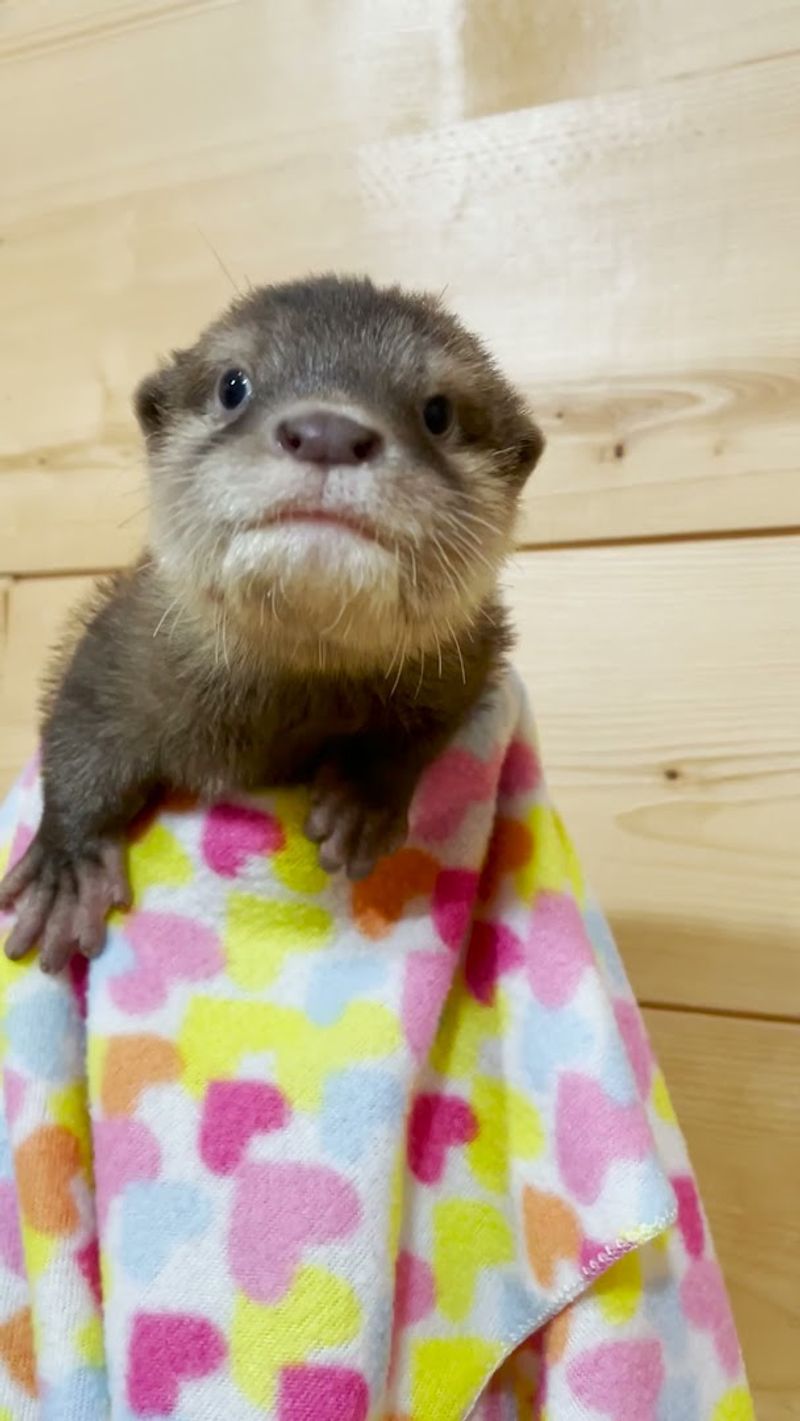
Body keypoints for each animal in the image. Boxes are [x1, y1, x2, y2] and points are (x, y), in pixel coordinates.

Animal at [0, 275, 544, 972]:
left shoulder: (468, 660)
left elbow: (427, 724)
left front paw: (362, 797)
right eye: (234, 385)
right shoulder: (119, 642)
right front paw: (68, 865)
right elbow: (79, 721)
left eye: (438, 413)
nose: (326, 431)